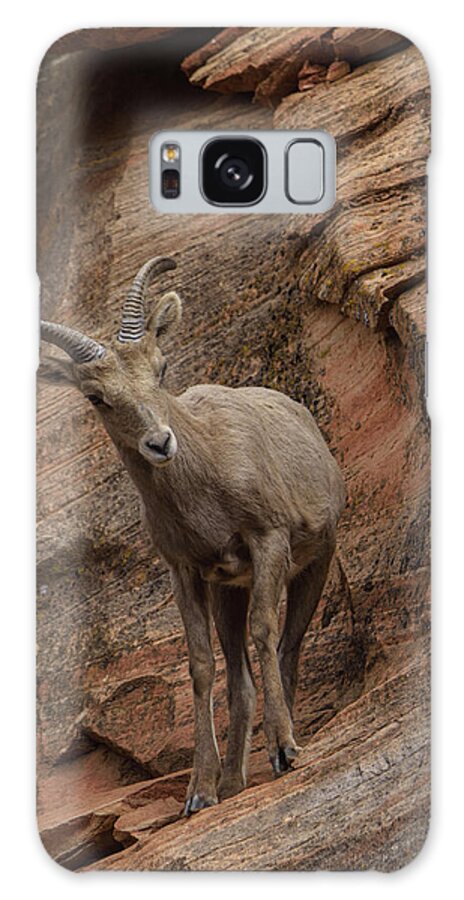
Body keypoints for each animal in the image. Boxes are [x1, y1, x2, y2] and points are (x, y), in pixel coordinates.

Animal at [40, 256, 346, 815]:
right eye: (97, 397)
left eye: (160, 369)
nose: (160, 443)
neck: (205, 488)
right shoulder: (186, 572)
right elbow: (202, 666)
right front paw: (200, 793)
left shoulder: (268, 540)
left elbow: (266, 632)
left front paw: (285, 751)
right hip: (229, 591)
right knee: (241, 675)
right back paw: (234, 782)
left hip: (317, 560)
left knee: (289, 646)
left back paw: (280, 749)